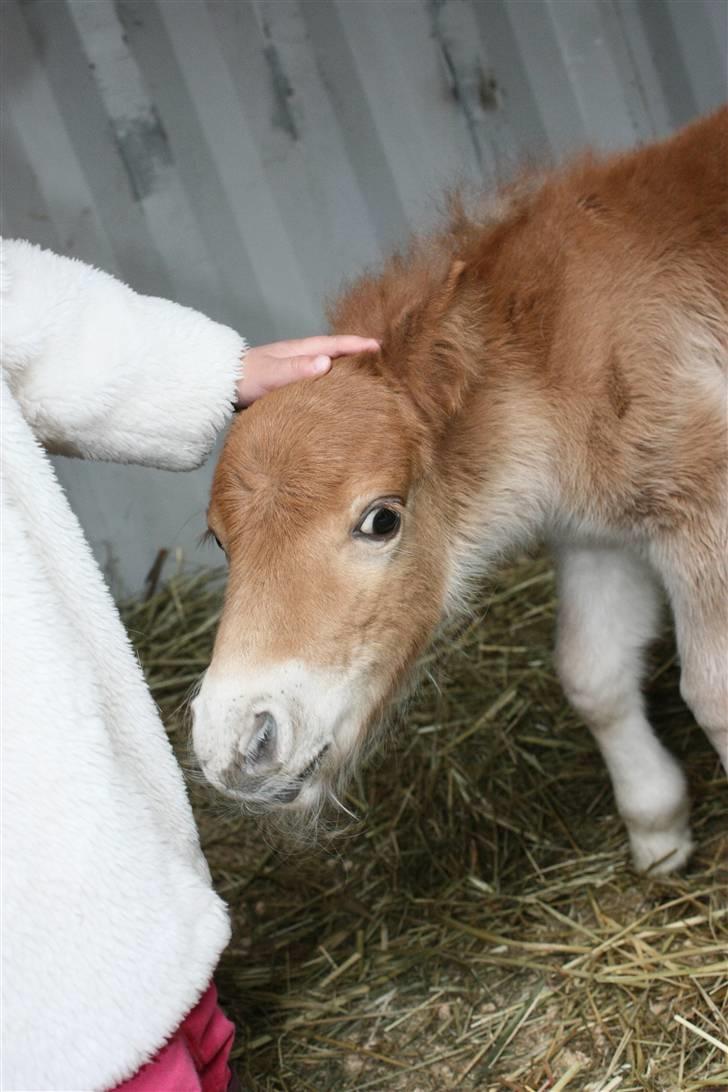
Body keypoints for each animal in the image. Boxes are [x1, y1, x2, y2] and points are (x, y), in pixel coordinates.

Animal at [191, 110, 724, 873]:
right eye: (219, 540)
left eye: (382, 520)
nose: (238, 744)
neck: (573, 353)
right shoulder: (596, 538)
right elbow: (591, 677)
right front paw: (658, 833)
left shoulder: (702, 511)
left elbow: (714, 694)